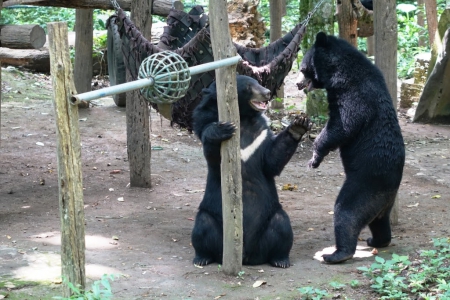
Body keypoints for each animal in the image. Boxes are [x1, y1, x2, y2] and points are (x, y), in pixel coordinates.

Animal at [192, 74, 312, 268]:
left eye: (259, 82)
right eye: (249, 86)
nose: (267, 92)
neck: (243, 117)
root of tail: (247, 255)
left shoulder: (261, 133)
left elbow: (271, 161)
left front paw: (299, 124)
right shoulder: (203, 120)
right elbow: (213, 155)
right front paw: (222, 129)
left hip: (272, 217)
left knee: (282, 226)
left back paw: (281, 260)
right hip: (212, 218)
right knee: (202, 227)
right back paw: (202, 258)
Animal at [298, 31, 406, 264]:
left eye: (302, 68)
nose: (297, 84)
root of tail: (389, 194)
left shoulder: (351, 92)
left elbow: (343, 125)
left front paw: (314, 157)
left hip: (363, 187)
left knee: (346, 213)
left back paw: (335, 254)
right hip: (380, 204)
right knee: (380, 224)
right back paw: (377, 241)